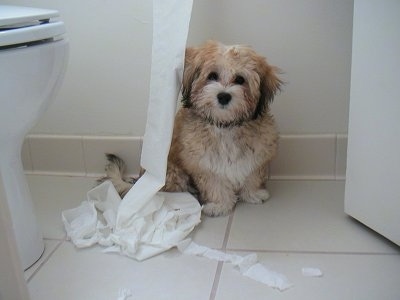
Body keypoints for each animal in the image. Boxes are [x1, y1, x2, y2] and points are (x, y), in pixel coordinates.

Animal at [99, 41, 282, 217]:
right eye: (212, 76)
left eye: (240, 79)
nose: (223, 96)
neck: (225, 126)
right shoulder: (203, 162)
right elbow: (214, 183)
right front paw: (219, 205)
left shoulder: (258, 153)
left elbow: (252, 173)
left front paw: (253, 194)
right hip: (173, 173)